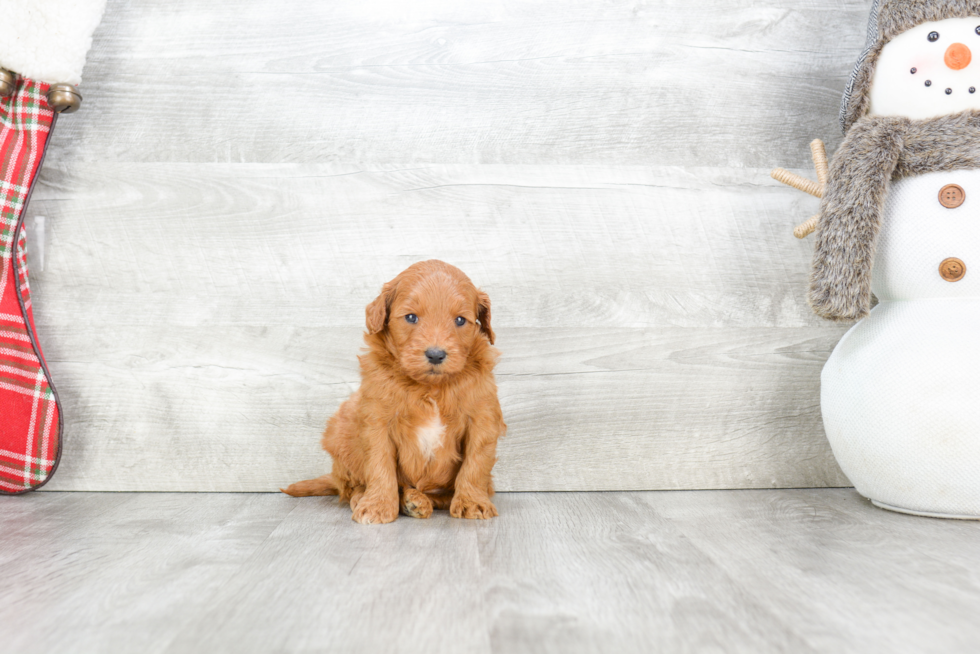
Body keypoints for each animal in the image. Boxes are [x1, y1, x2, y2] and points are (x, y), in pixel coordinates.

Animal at [280, 258, 502, 524]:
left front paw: (472, 502)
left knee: (438, 495)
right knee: (353, 487)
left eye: (460, 320)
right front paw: (377, 505)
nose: (436, 354)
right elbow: (379, 465)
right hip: (341, 433)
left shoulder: (482, 419)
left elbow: (475, 463)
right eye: (411, 317)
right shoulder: (376, 421)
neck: (429, 387)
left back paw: (416, 501)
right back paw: (375, 499)